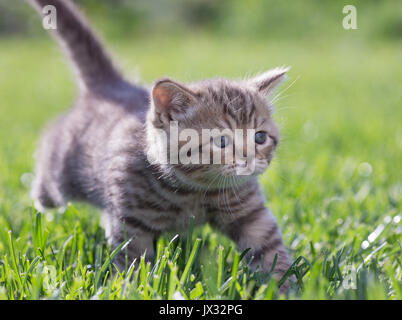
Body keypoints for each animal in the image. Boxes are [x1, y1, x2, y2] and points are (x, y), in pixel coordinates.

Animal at [27, 0, 292, 290]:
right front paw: (132, 288)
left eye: (260, 137)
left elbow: (269, 248)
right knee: (48, 188)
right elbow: (133, 259)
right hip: (60, 173)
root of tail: (113, 87)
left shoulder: (249, 210)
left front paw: (286, 287)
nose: (251, 158)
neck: (194, 191)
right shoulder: (131, 221)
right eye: (221, 141)